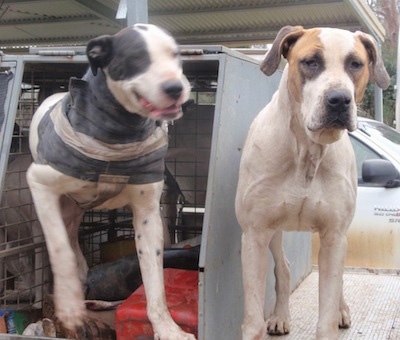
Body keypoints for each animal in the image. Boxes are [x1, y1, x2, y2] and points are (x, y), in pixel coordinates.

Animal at [26, 23, 194, 340]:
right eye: (137, 58)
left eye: (175, 55)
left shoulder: (147, 216)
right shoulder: (39, 182)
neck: (118, 135)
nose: (176, 88)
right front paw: (68, 305)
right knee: (66, 249)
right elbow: (59, 250)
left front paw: (167, 328)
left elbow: (155, 281)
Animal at [236, 26, 390, 340]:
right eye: (311, 62)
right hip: (273, 232)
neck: (307, 152)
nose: (339, 99)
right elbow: (254, 320)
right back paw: (280, 316)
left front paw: (335, 313)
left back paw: (341, 309)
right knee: (283, 267)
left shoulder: (334, 235)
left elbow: (328, 311)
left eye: (355, 64)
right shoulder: (255, 233)